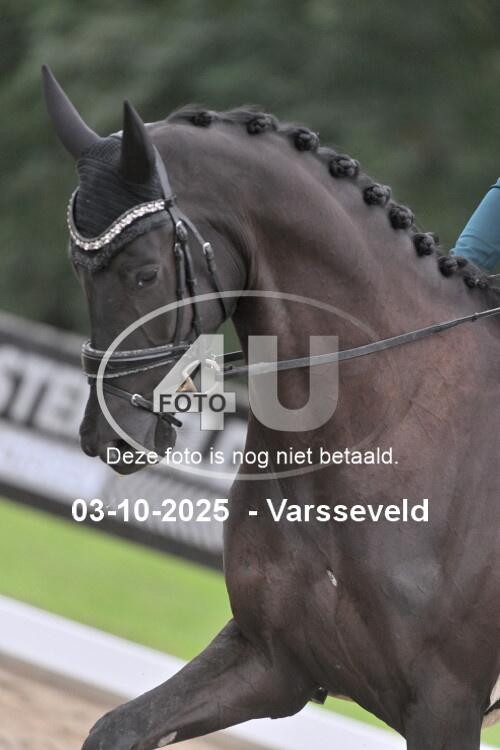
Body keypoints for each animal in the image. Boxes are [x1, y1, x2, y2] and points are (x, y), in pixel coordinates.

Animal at [42, 65, 500, 750]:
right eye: (78, 269)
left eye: (144, 274)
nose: (107, 438)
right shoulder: (273, 659)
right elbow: (117, 729)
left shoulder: (445, 705)